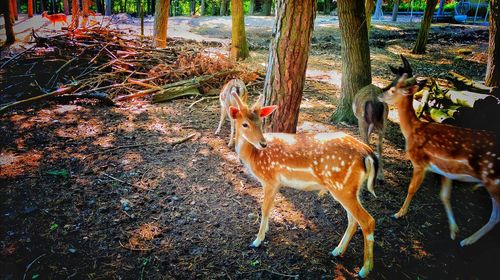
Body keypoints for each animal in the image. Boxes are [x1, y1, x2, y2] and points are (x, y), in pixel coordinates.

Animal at [229, 92, 378, 278]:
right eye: (245, 124)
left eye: (260, 122)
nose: (263, 143)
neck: (254, 157)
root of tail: (368, 153)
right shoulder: (275, 183)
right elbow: (270, 208)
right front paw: (265, 232)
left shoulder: (270, 179)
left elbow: (264, 209)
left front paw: (257, 240)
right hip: (350, 188)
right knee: (353, 220)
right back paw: (337, 251)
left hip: (342, 187)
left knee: (368, 220)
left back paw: (365, 269)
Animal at [380, 75, 498, 246]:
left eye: (392, 90)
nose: (378, 94)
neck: (413, 130)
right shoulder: (446, 171)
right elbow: (445, 196)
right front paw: (454, 230)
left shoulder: (420, 162)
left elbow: (411, 188)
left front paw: (399, 213)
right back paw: (467, 240)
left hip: (493, 180)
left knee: (496, 214)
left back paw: (468, 241)